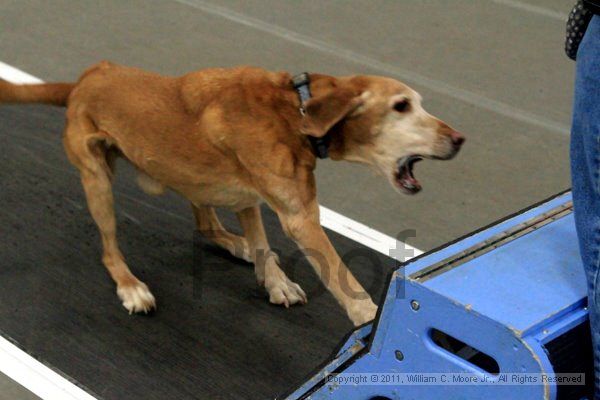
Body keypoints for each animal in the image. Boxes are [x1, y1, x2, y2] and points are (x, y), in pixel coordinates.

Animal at [0, 61, 464, 324]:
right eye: (401, 106)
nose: (459, 139)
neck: (296, 109)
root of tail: (83, 79)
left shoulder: (254, 198)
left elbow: (262, 242)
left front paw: (273, 280)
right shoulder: (300, 217)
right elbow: (340, 276)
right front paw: (368, 318)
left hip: (193, 178)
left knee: (206, 223)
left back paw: (234, 244)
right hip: (98, 181)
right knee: (110, 251)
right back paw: (131, 285)